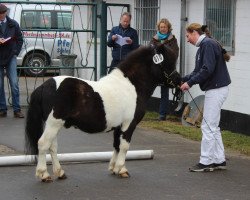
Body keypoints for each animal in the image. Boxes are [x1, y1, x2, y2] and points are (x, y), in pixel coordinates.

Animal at [24, 43, 181, 181]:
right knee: (43, 144)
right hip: (53, 123)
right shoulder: (129, 124)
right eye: (169, 62)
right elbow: (124, 146)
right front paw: (122, 170)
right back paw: (44, 174)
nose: (178, 81)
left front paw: (113, 168)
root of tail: (43, 87)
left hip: (54, 124)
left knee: (52, 147)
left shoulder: (118, 126)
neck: (131, 86)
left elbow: (117, 145)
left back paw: (60, 172)